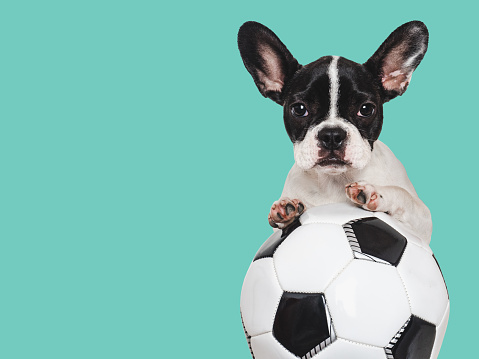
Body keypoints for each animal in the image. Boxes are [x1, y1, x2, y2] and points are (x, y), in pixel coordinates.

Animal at [238, 21, 434, 243]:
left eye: (366, 109)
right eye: (299, 109)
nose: (332, 135)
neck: (335, 181)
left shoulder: (423, 222)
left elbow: (403, 196)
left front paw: (374, 192)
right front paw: (285, 209)